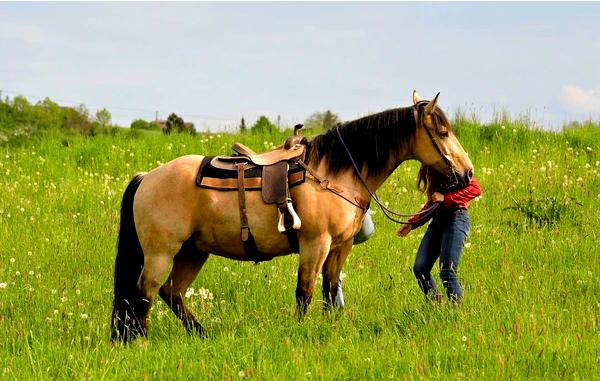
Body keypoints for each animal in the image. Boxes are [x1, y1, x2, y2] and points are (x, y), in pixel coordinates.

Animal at [108, 91, 474, 342]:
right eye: (442, 132)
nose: (467, 172)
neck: (334, 172)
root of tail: (147, 178)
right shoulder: (315, 243)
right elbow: (305, 291)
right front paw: (299, 332)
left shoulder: (340, 247)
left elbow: (330, 289)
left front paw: (331, 329)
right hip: (161, 253)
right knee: (144, 293)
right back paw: (141, 341)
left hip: (193, 252)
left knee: (172, 293)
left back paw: (201, 335)